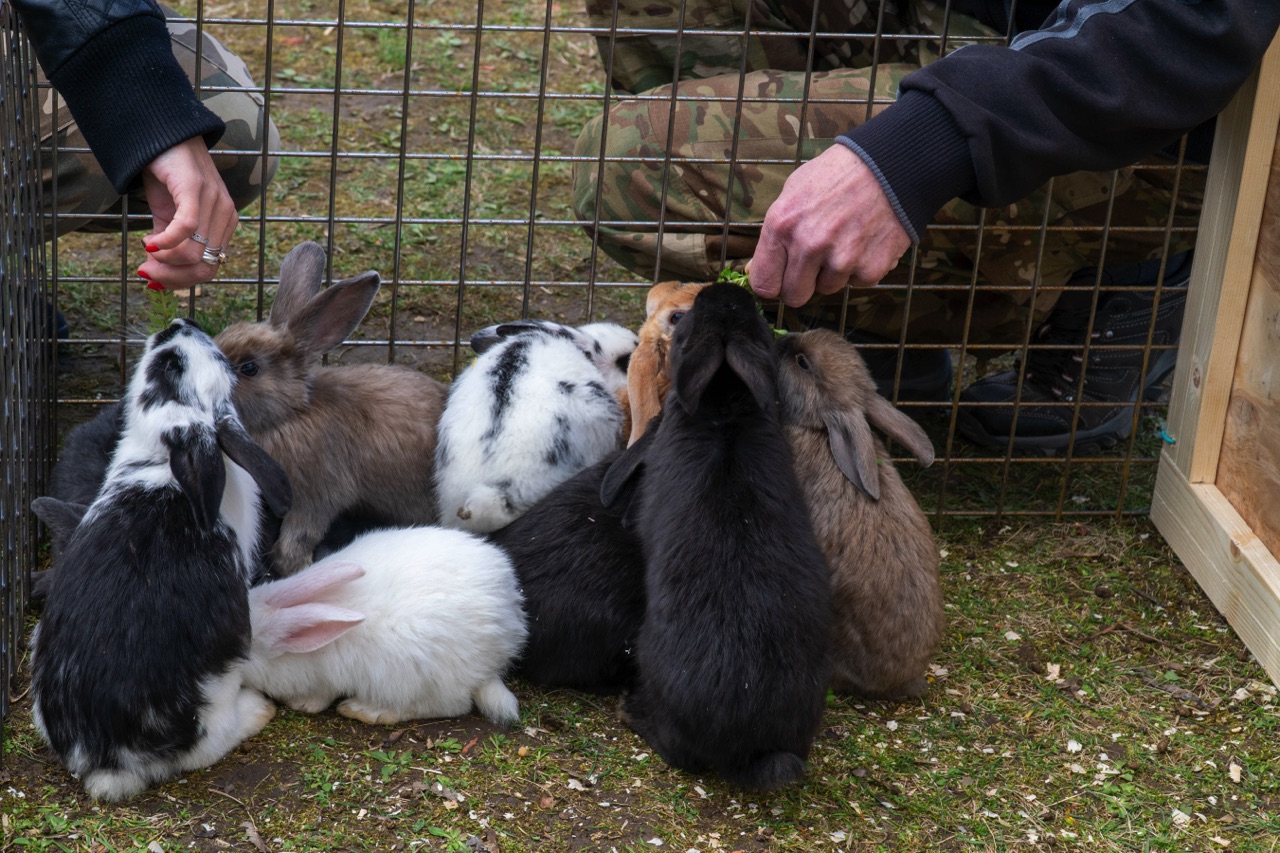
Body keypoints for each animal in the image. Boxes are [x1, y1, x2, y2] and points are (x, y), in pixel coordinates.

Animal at [30, 318, 293, 802]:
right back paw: (257, 711)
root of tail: (109, 761)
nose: (179, 324)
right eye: (172, 363)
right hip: (215, 694)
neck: (161, 465)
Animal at [242, 525, 528, 726]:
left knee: (449, 706)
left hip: (419, 678)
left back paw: (364, 710)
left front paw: (301, 705)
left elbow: (320, 697)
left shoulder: (324, 679)